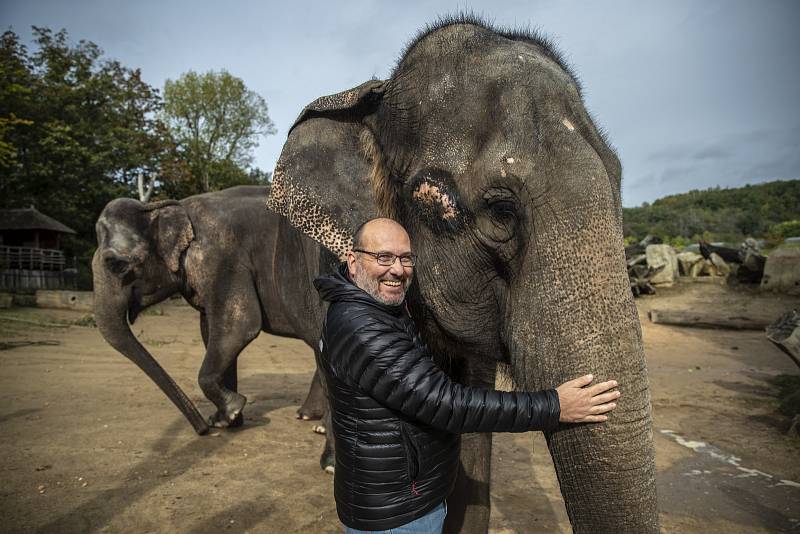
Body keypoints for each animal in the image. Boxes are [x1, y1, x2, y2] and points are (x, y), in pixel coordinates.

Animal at [92, 184, 332, 440]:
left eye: (116, 264)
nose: (202, 430)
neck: (171, 208)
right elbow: (210, 330)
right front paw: (226, 421)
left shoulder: (222, 261)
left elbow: (240, 325)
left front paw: (231, 409)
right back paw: (308, 418)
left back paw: (320, 427)